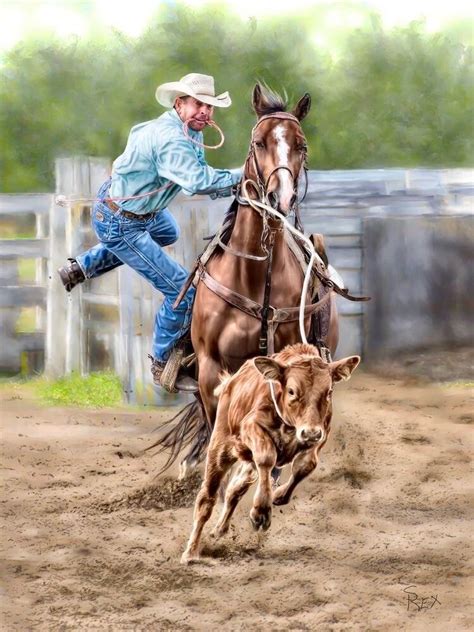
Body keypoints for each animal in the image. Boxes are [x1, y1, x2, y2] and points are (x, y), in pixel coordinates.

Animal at [152, 82, 340, 474]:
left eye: (301, 145)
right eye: (259, 142)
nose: (279, 197)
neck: (255, 278)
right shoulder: (210, 369)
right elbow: (216, 430)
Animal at [181, 344, 360, 564]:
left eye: (328, 392)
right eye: (292, 391)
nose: (310, 433)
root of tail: (232, 381)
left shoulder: (321, 435)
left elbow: (306, 465)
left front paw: (279, 495)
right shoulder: (251, 427)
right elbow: (267, 458)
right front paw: (261, 513)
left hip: (247, 463)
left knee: (235, 489)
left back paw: (219, 530)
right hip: (221, 446)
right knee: (207, 499)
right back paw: (191, 553)